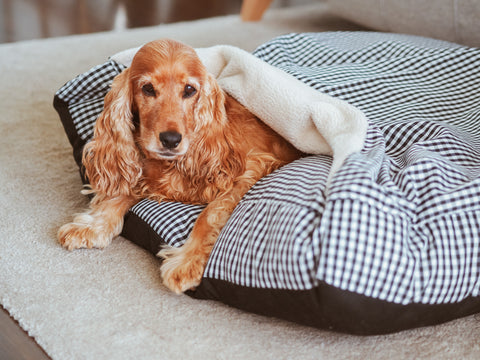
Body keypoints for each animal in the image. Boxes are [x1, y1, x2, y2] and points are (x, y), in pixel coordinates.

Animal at [58, 38, 302, 292]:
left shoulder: (251, 168)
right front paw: (92, 226)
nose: (170, 140)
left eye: (189, 90)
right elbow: (119, 193)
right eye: (147, 88)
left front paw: (187, 261)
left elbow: (209, 214)